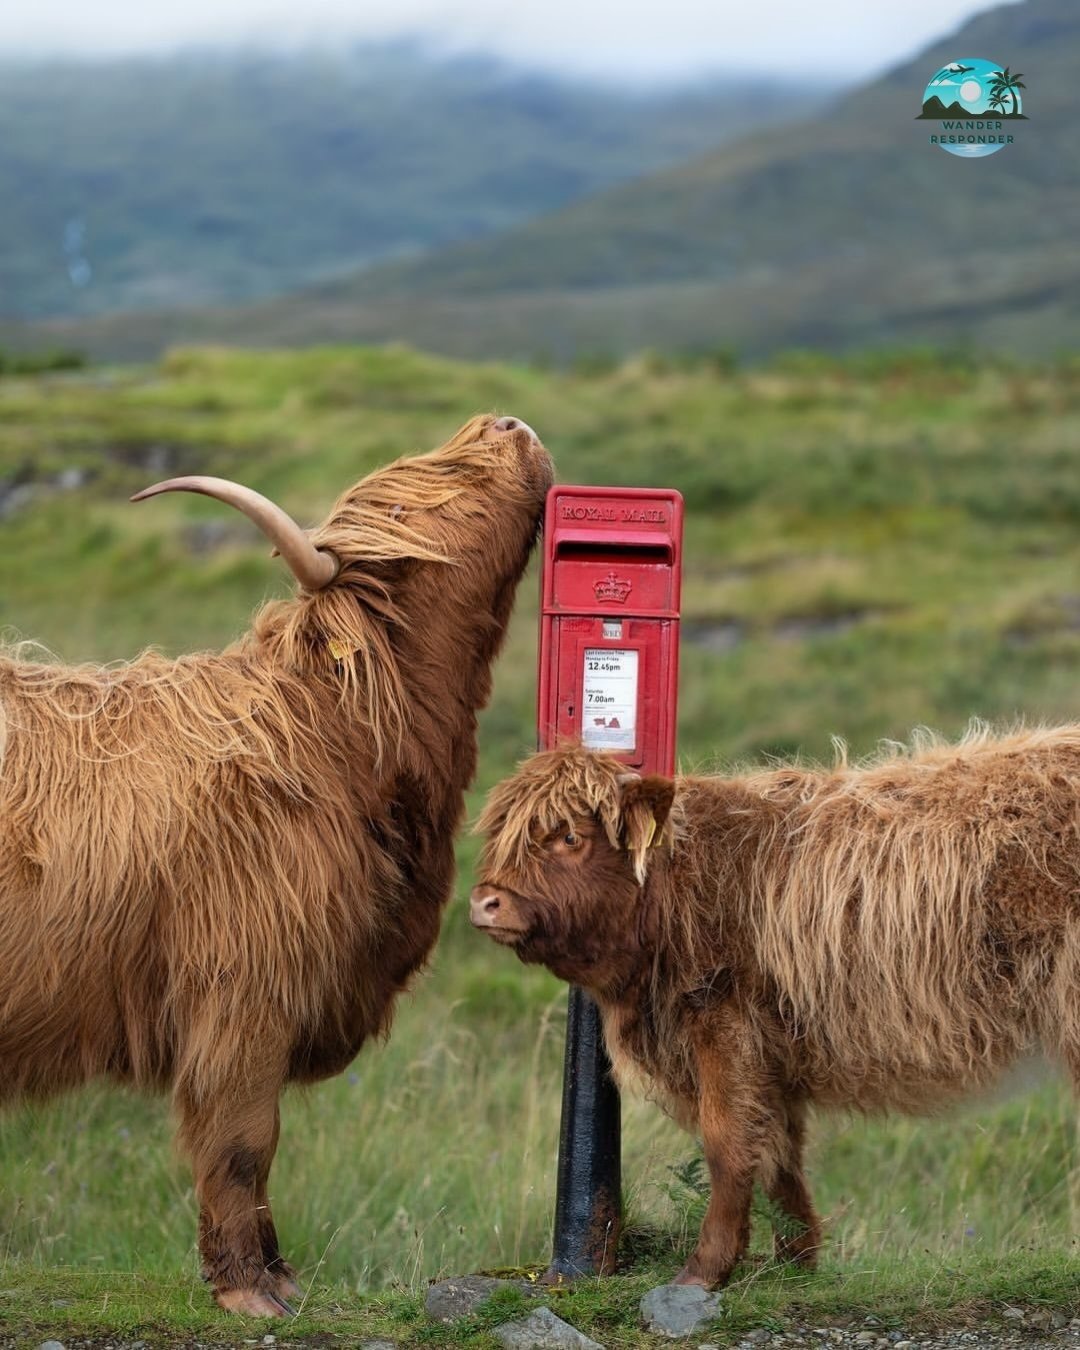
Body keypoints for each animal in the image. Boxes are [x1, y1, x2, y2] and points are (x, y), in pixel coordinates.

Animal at [0, 413, 553, 1316]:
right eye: (416, 498)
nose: (505, 423)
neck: (340, 735)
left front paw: (279, 1272)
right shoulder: (243, 991)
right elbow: (243, 1141)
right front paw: (247, 1289)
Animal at [470, 731, 1080, 1288]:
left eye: (570, 836)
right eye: (502, 836)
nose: (484, 902)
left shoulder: (725, 1025)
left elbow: (728, 1142)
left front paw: (704, 1270)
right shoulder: (770, 1052)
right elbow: (780, 1150)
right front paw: (795, 1261)